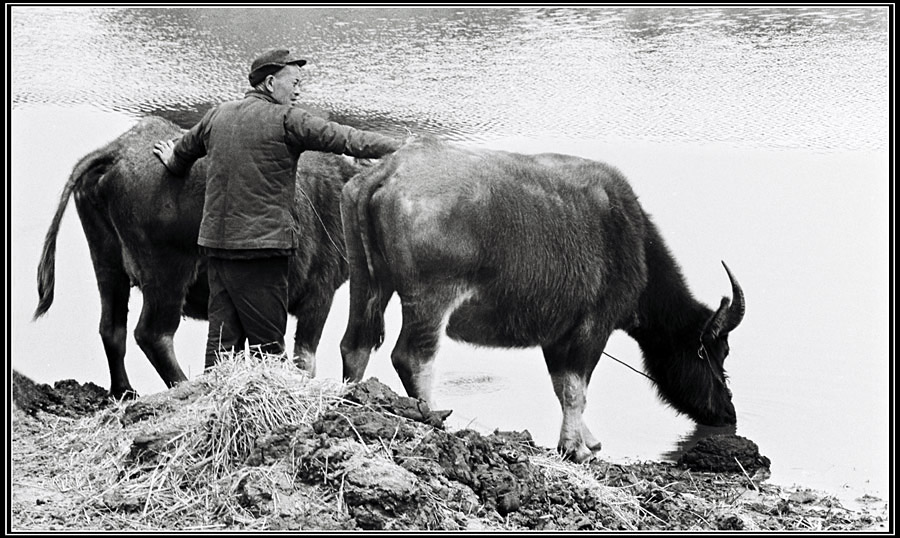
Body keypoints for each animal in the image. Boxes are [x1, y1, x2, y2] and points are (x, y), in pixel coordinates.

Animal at [35, 115, 366, 396]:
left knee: (112, 328)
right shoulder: (320, 292)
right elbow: (309, 357)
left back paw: (124, 391)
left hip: (106, 260)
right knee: (153, 334)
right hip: (167, 274)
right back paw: (182, 384)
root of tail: (115, 151)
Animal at [340, 135, 744, 460]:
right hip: (430, 301)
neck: (630, 237)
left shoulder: (557, 336)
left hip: (366, 282)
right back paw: (434, 416)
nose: (729, 412)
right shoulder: (593, 328)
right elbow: (577, 389)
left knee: (355, 345)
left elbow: (561, 386)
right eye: (716, 351)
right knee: (411, 357)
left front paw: (586, 439)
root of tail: (390, 170)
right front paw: (575, 448)